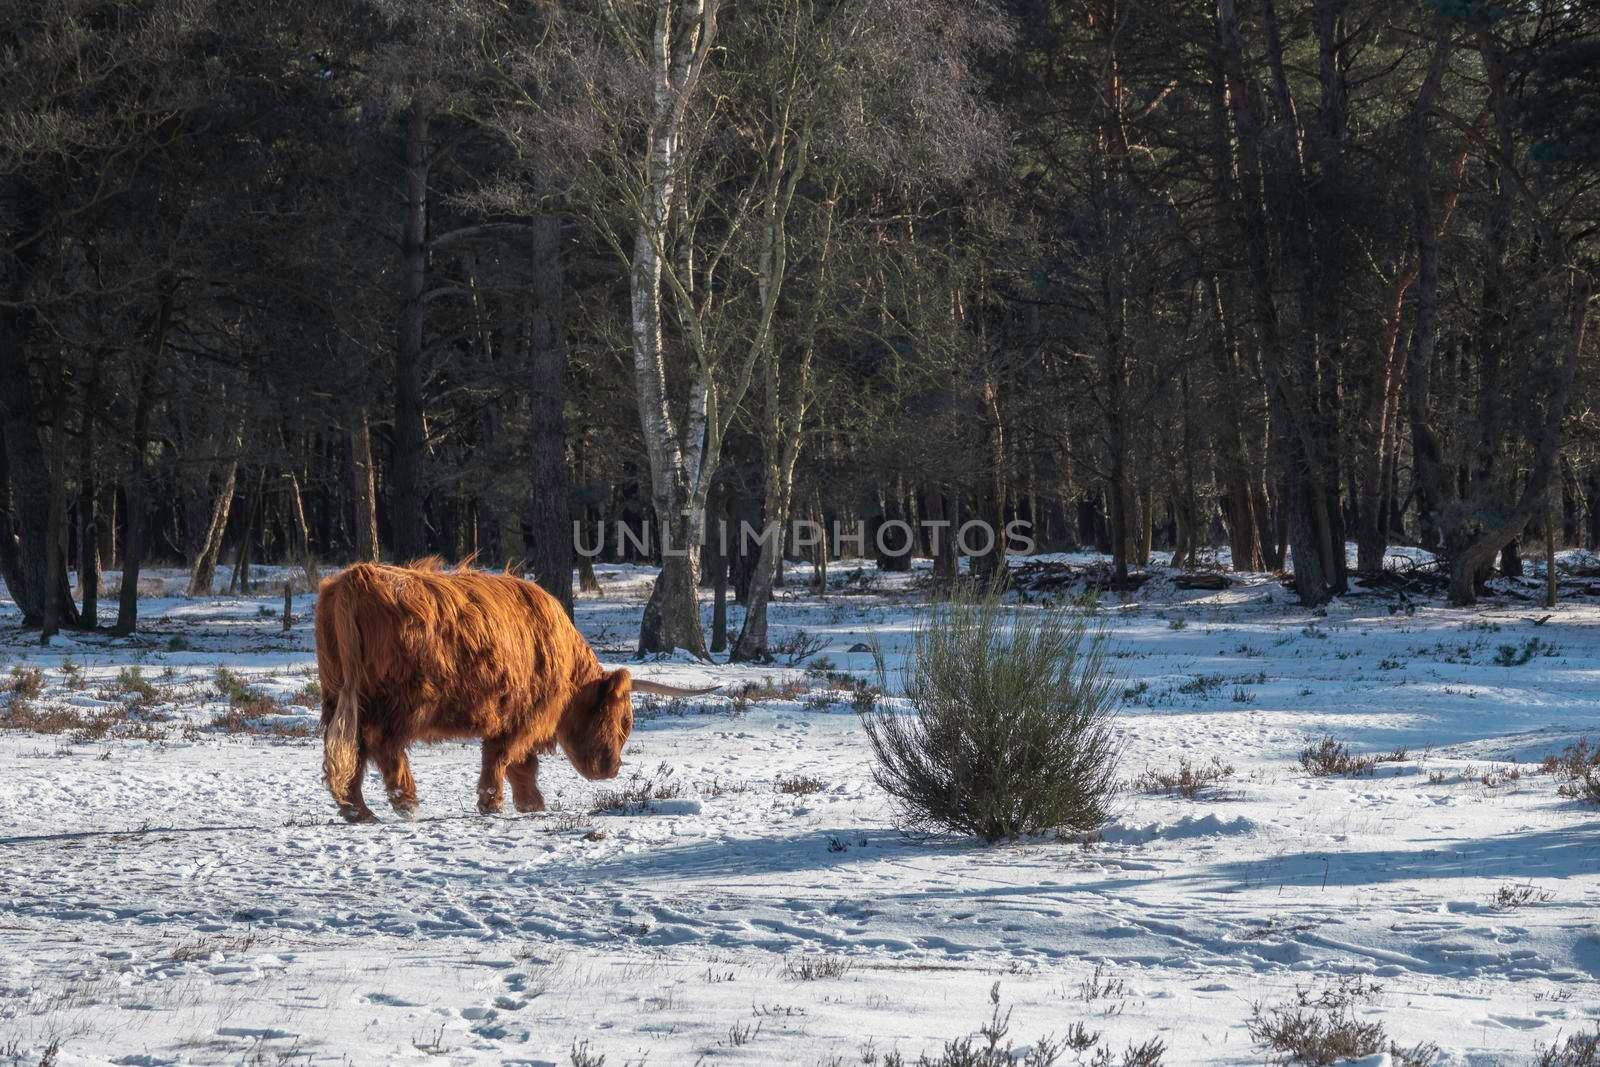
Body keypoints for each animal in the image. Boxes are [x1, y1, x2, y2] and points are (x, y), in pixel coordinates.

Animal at [315, 559, 710, 825]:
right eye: (623, 720)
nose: (611, 769)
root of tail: (355, 578)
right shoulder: (524, 713)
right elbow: (504, 757)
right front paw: (494, 804)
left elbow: (522, 764)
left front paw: (530, 803)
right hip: (402, 703)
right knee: (382, 746)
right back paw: (405, 802)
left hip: (343, 696)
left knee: (352, 749)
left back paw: (357, 810)